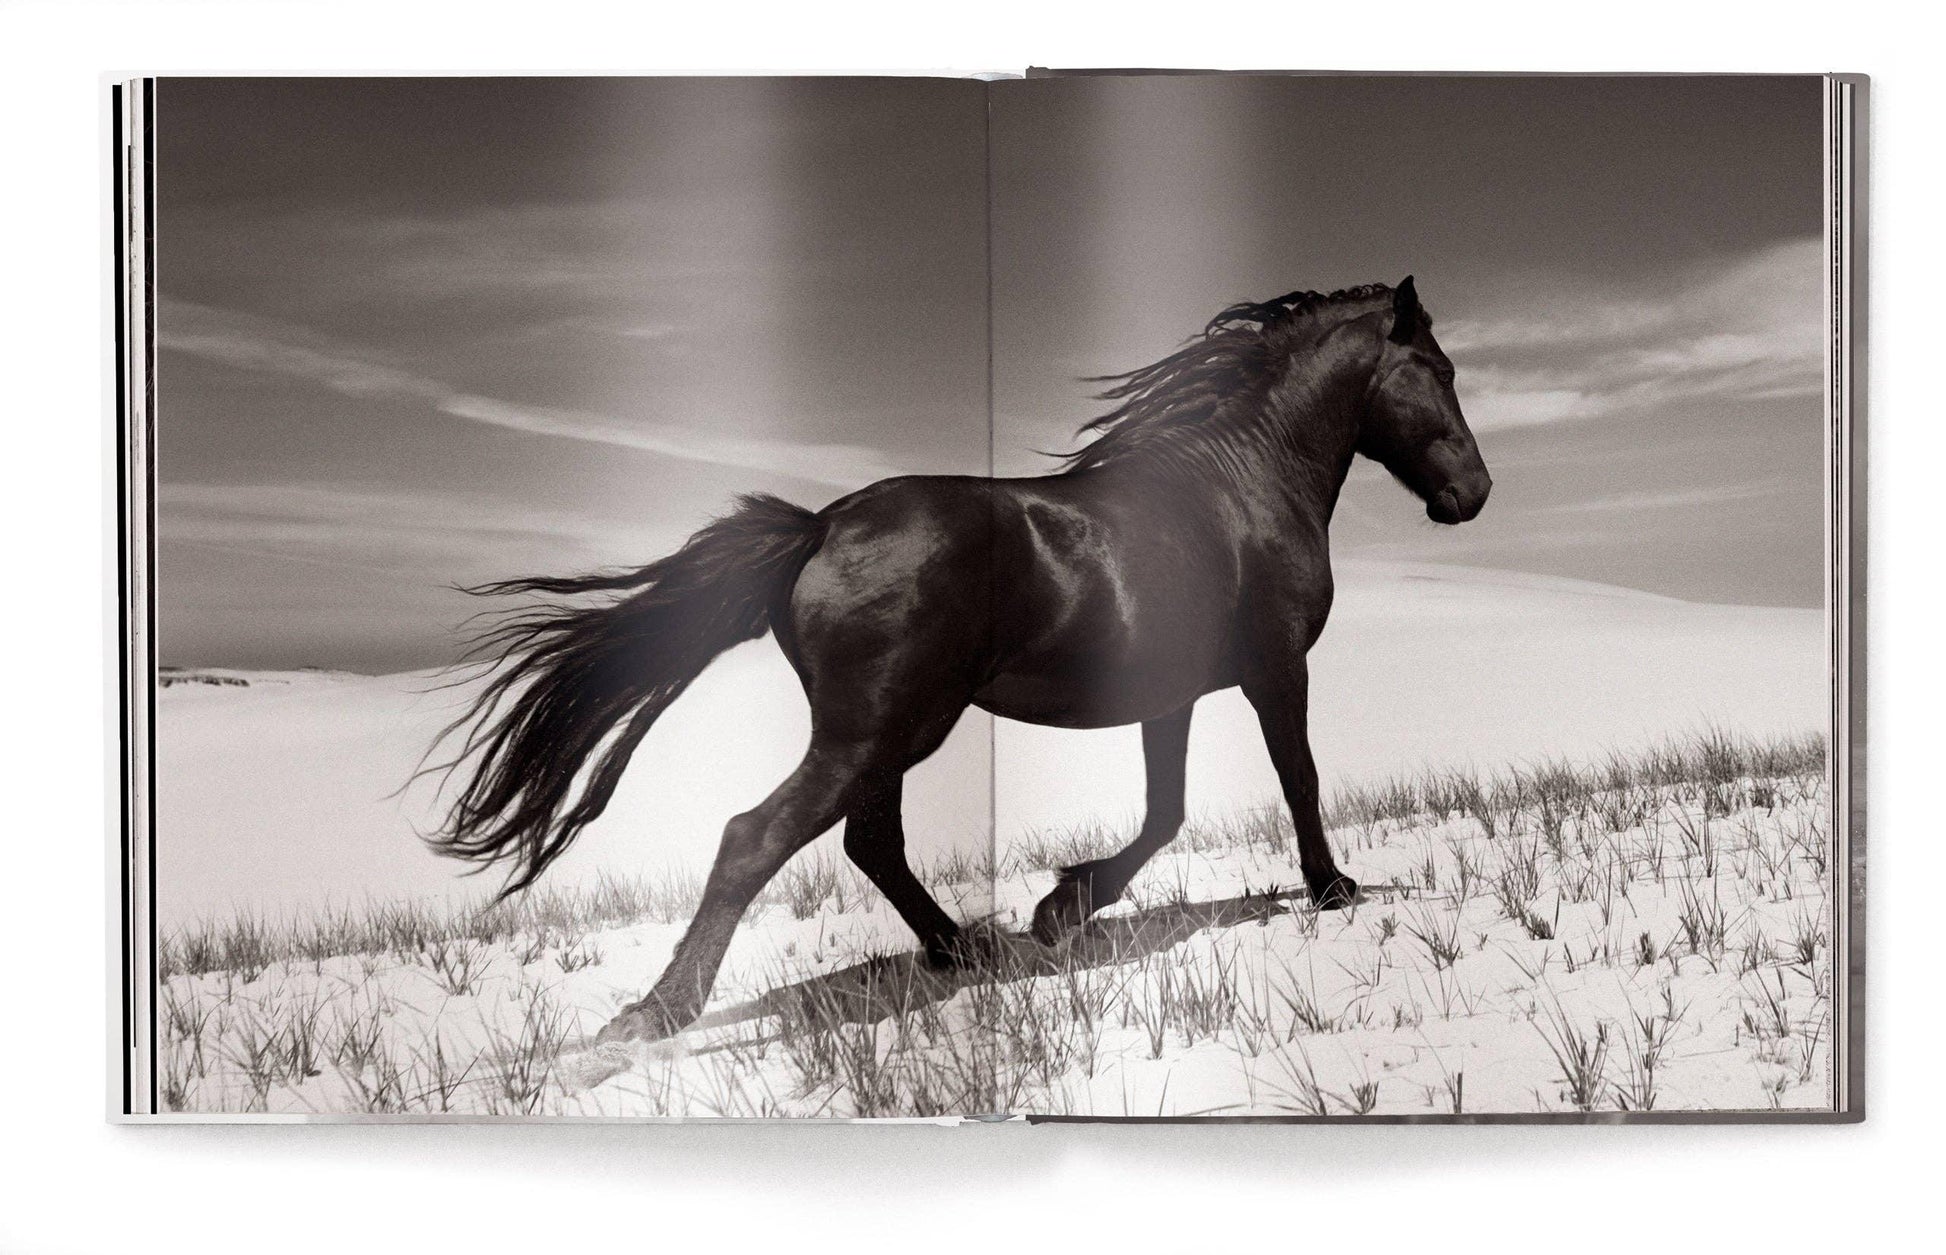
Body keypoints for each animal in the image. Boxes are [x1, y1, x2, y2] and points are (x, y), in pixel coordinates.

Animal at [429, 276, 1491, 1044]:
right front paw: (1333, 888)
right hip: (880, 729)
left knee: (869, 844)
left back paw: (961, 949)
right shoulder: (1276, 669)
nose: (1474, 494)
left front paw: (1061, 907)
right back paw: (658, 1011)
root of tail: (818, 529)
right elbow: (1295, 779)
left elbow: (1167, 809)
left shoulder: (1171, 696)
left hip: (890, 731)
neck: (1241, 485)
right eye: (1437, 369)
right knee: (753, 838)